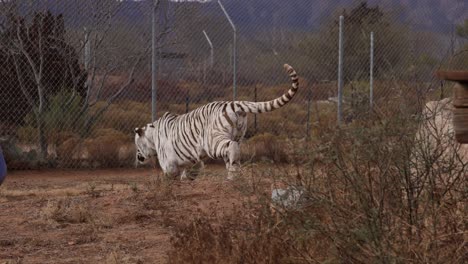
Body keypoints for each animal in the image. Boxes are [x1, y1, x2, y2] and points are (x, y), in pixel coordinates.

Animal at [134, 64, 300, 179]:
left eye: (137, 144)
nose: (138, 157)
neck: (152, 134)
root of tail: (234, 103)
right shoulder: (193, 161)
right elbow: (190, 172)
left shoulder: (169, 163)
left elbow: (170, 175)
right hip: (237, 136)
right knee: (234, 151)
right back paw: (234, 173)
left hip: (212, 141)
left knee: (231, 148)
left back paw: (233, 175)